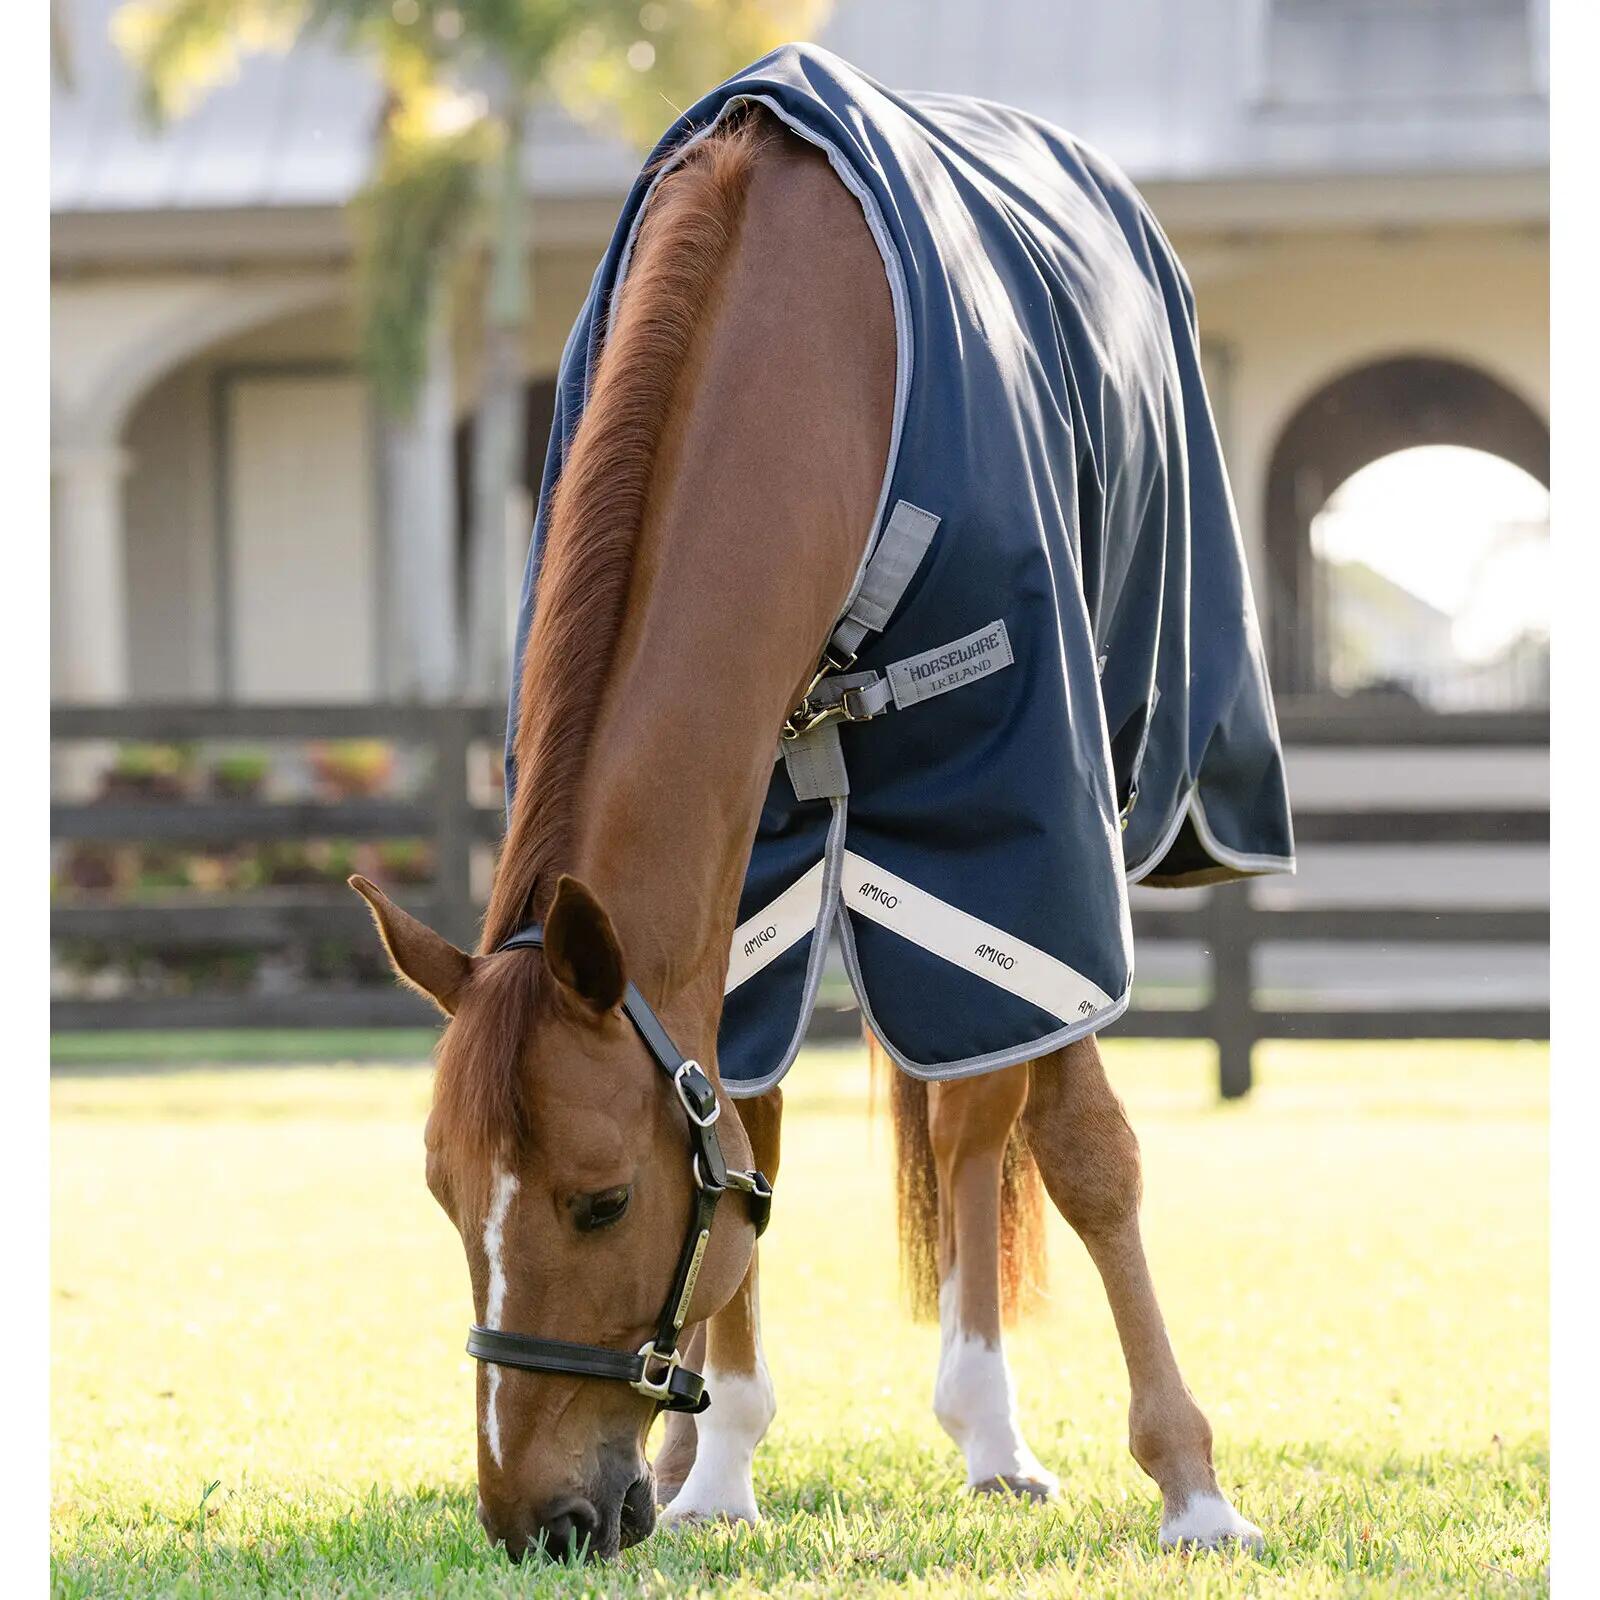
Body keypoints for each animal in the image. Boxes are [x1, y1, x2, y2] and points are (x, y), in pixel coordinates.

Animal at [351, 91, 1269, 1564]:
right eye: (443, 1194)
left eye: (602, 1200)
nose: (536, 1521)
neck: (807, 348)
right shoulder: (750, 871)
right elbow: (746, 1126)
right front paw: (719, 1463)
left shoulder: (1029, 821)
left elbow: (1078, 1149)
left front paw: (1190, 1487)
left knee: (987, 1121)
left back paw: (995, 1432)